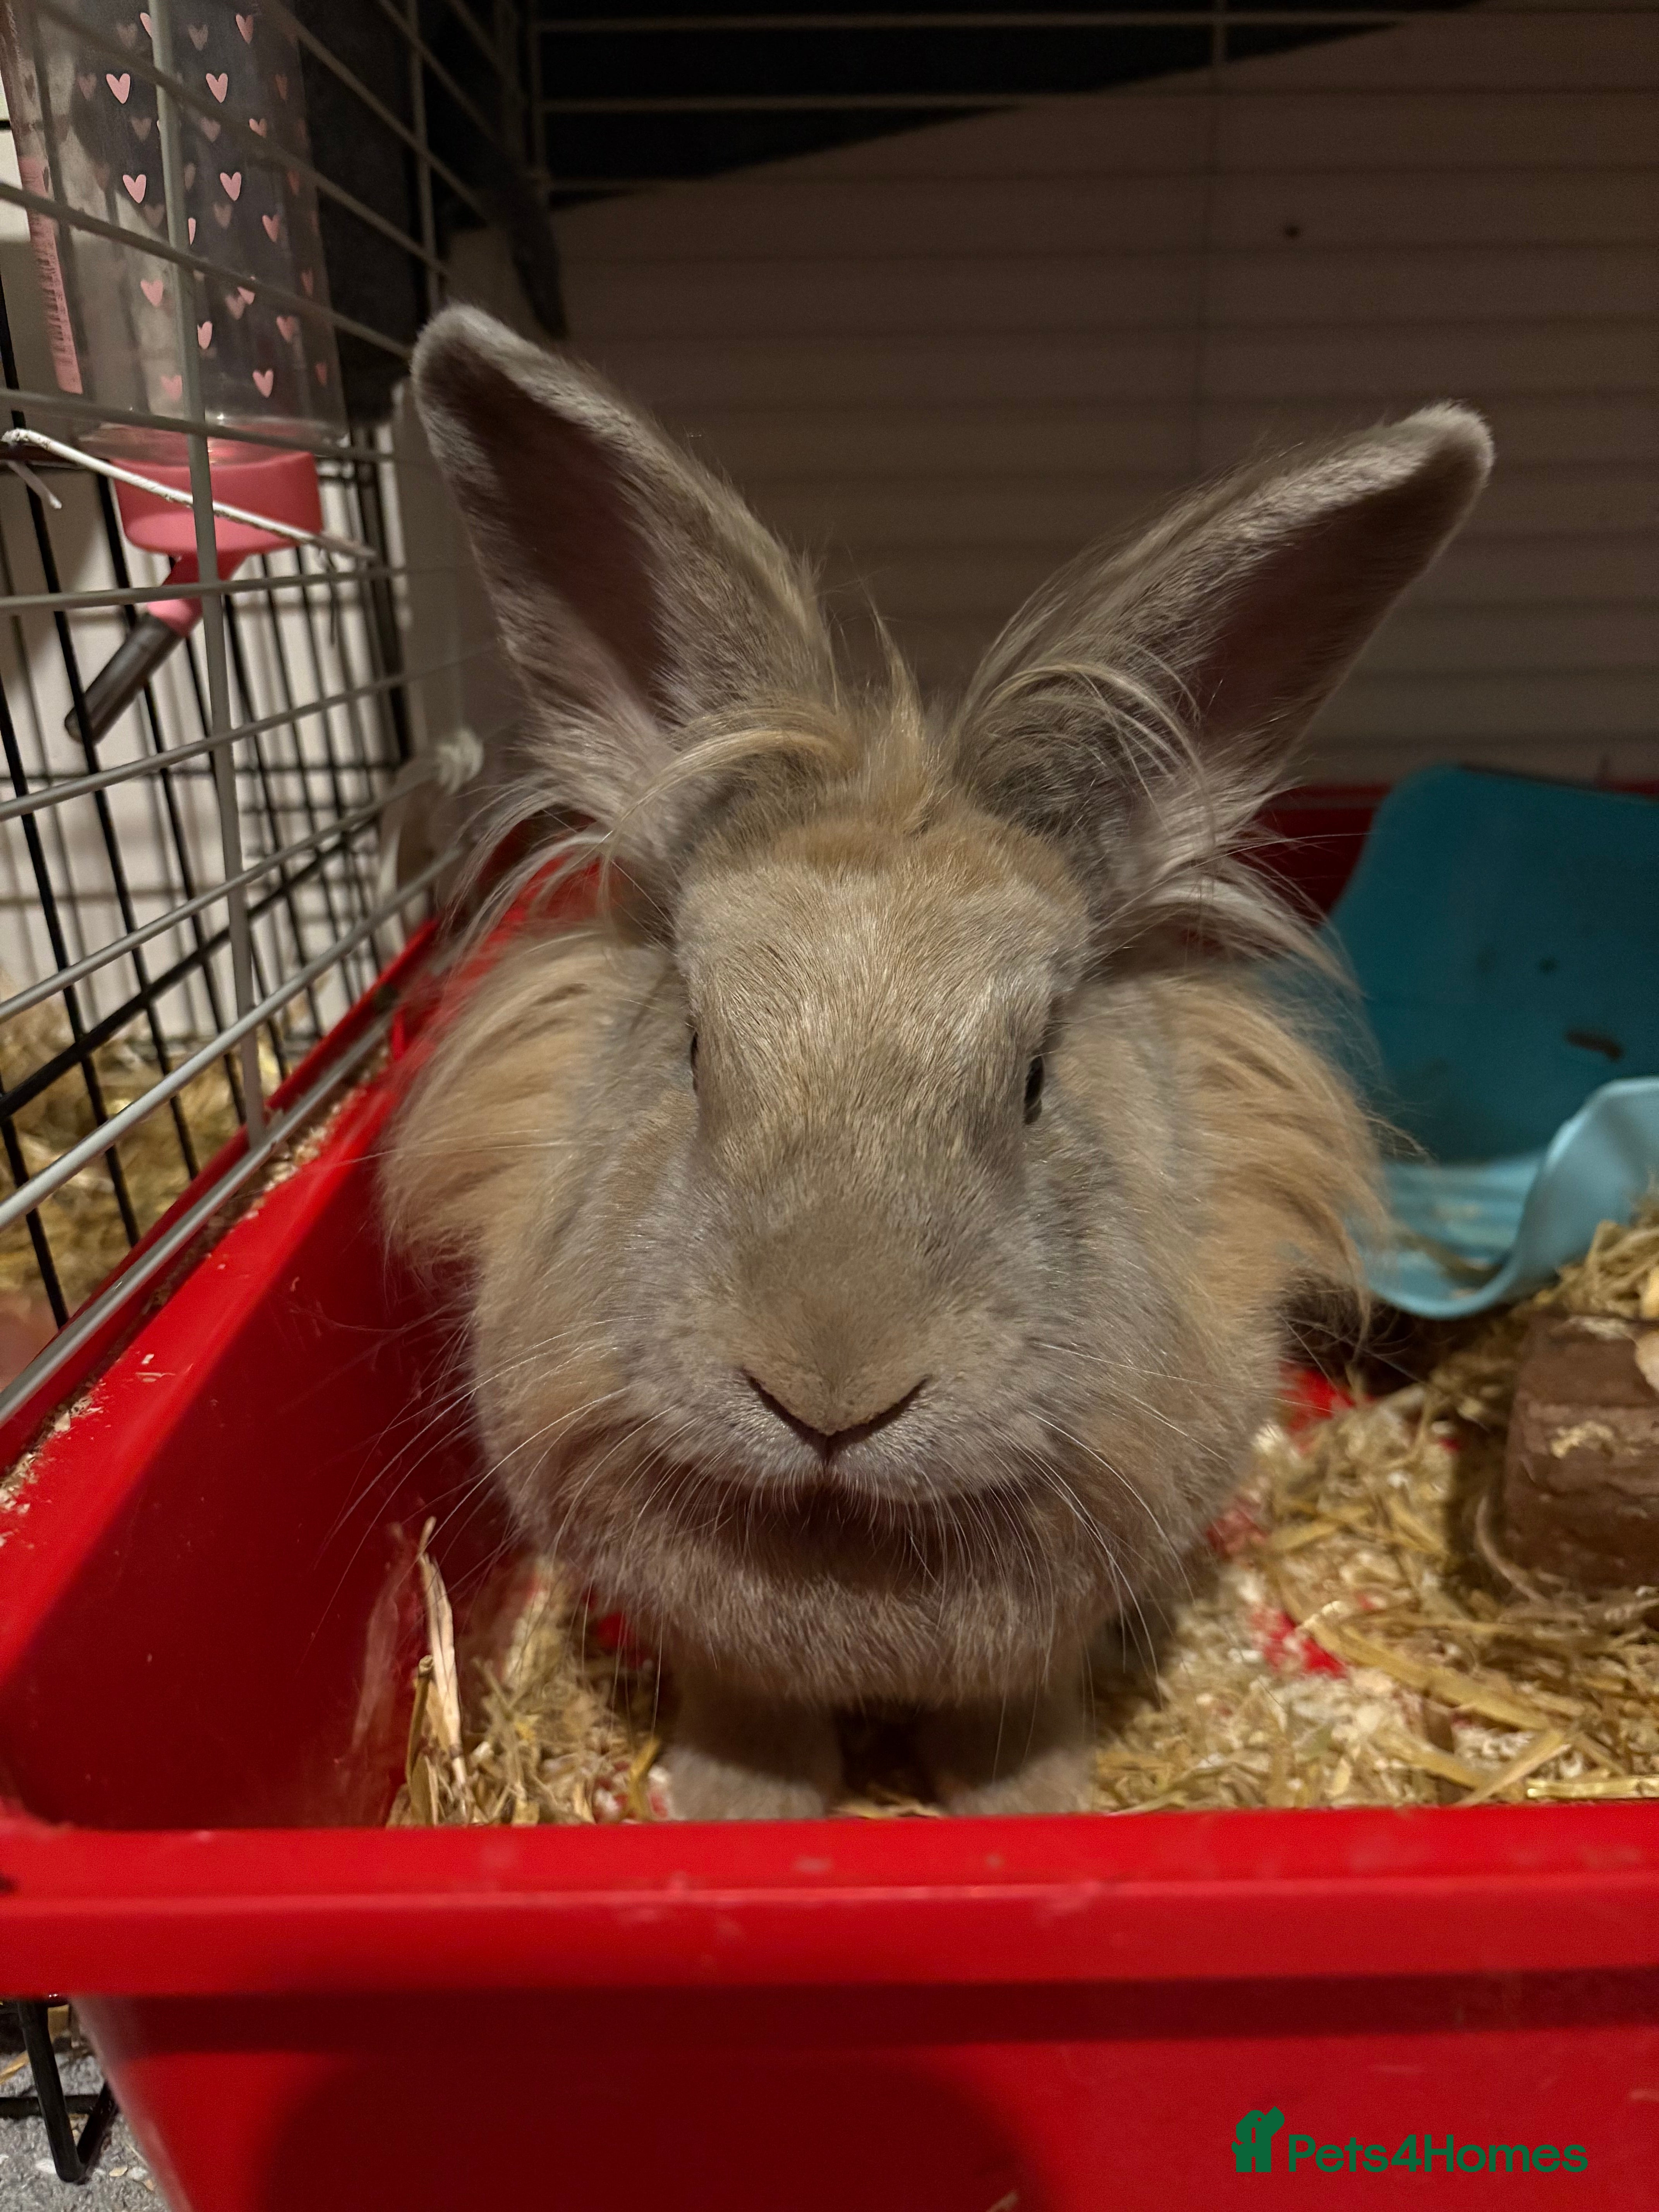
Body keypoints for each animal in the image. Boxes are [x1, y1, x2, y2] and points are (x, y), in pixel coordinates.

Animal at [384, 303, 1492, 1820]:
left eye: (1033, 1077)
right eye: (694, 1044)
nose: (828, 1394)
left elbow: (1008, 1718)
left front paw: (1034, 1805)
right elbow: (755, 1712)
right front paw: (736, 1809)